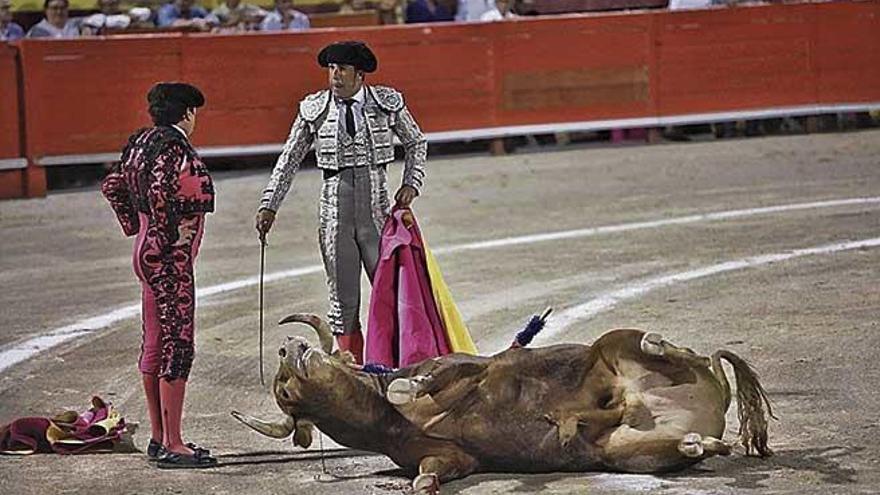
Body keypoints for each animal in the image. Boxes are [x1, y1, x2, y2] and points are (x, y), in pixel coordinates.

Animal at [232, 316, 768, 494]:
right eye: (284, 391)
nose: (288, 348)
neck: (385, 421)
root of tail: (713, 397)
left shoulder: (470, 367)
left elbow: (429, 379)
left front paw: (406, 388)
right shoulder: (450, 458)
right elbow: (430, 473)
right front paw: (420, 487)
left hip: (619, 346)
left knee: (672, 350)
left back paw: (656, 344)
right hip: (628, 451)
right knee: (696, 445)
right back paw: (700, 442)